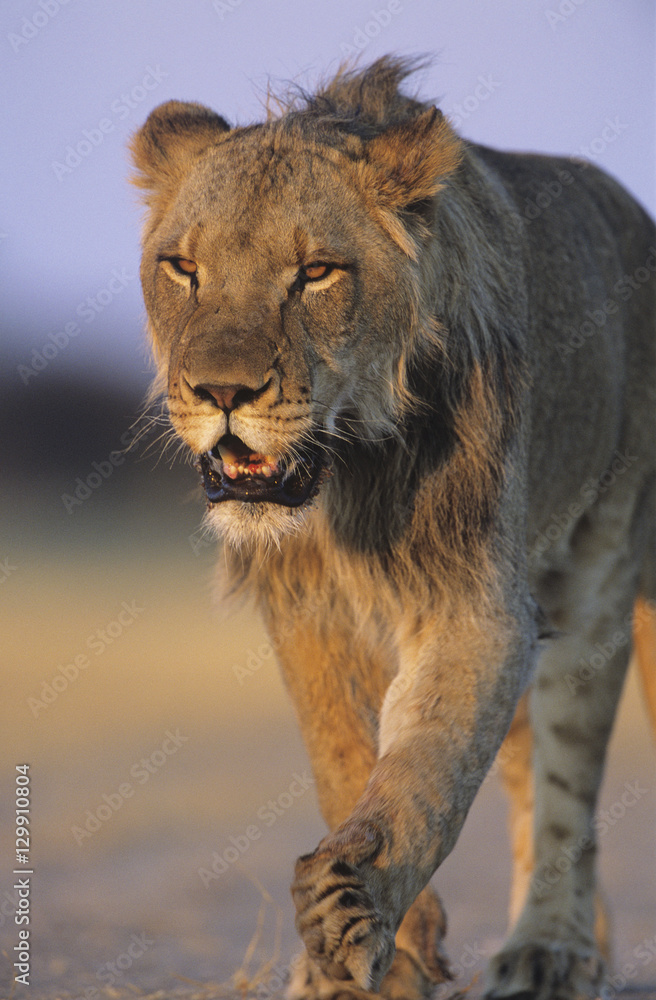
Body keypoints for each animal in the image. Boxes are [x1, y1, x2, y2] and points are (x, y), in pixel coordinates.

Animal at [130, 58, 656, 1000]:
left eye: (316, 272)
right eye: (183, 267)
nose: (221, 392)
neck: (344, 482)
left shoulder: (476, 601)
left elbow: (426, 769)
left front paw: (350, 907)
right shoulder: (304, 608)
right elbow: (344, 759)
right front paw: (378, 957)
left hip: (603, 572)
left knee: (566, 773)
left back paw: (551, 950)